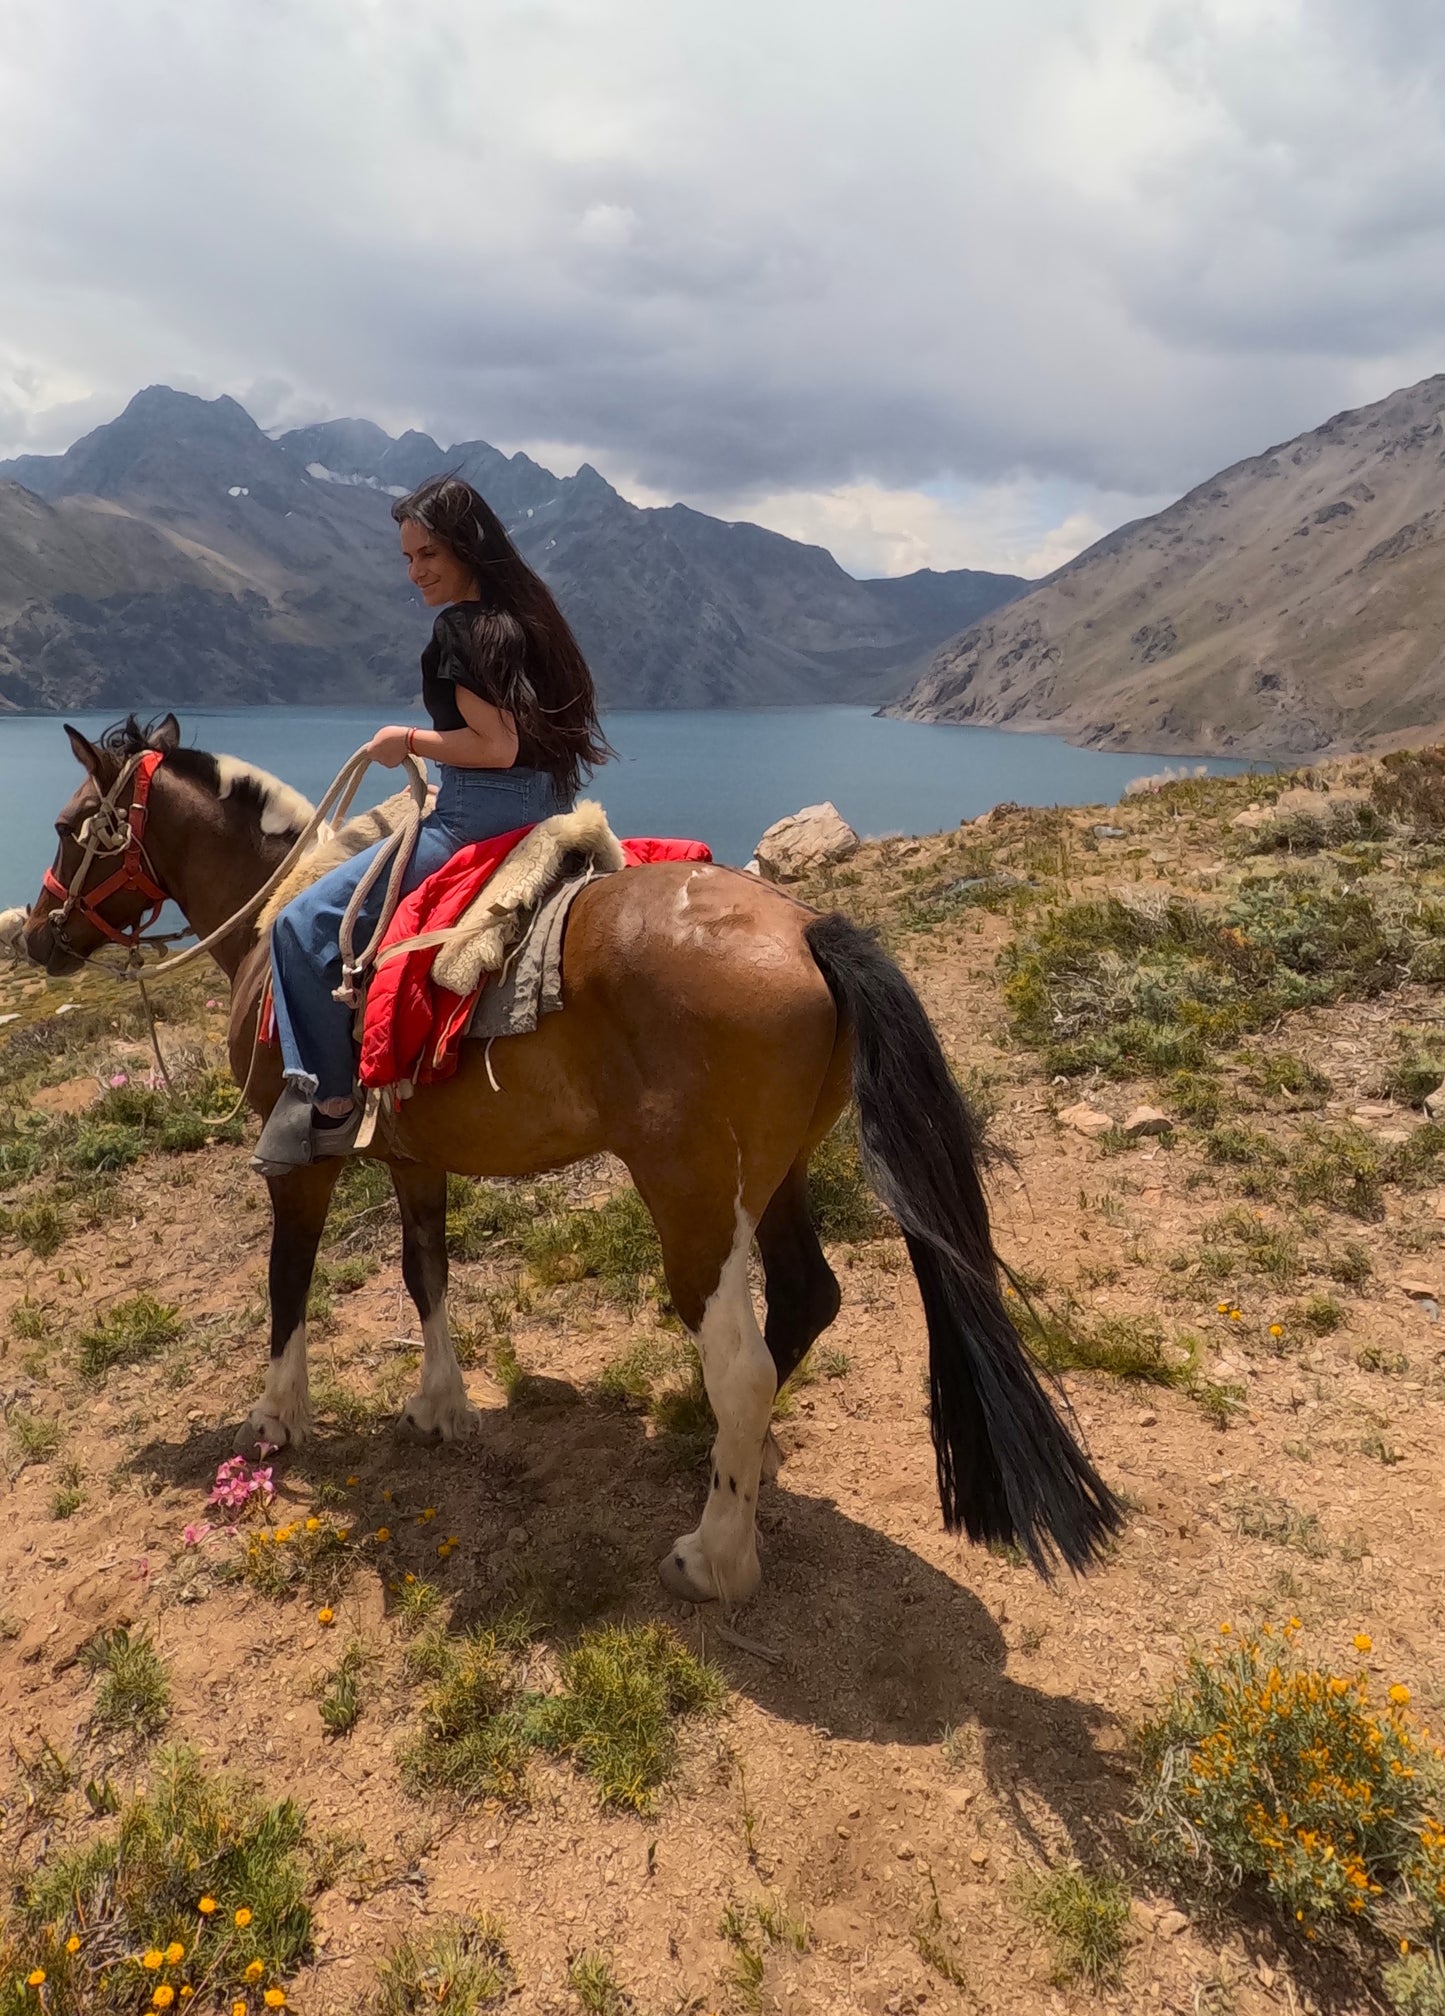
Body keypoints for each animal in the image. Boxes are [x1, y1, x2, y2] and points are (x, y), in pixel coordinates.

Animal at [25, 709, 1128, 1604]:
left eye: (71, 824)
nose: (35, 938)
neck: (273, 922)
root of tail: (808, 928)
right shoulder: (414, 1158)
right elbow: (425, 1268)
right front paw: (439, 1406)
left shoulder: (302, 1159)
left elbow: (287, 1279)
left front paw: (277, 1417)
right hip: (772, 1177)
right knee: (802, 1303)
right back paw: (739, 1463)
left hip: (689, 1193)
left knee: (739, 1362)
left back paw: (713, 1556)